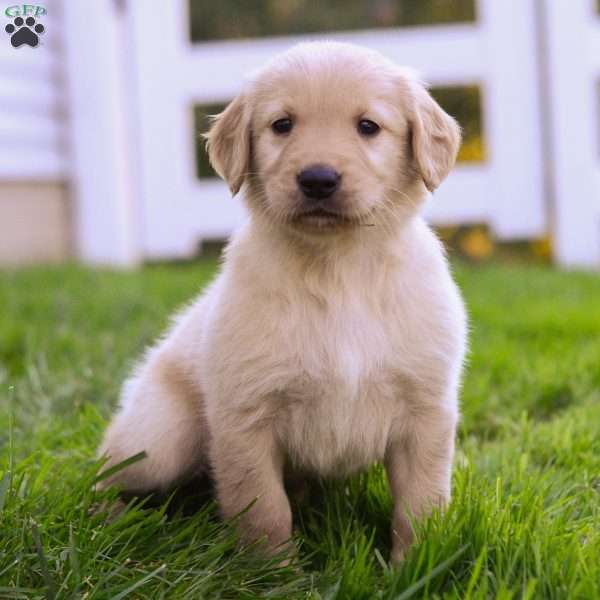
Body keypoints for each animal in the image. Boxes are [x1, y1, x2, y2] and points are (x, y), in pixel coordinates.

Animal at [98, 41, 466, 564]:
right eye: (282, 124)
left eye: (368, 126)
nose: (318, 179)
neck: (337, 271)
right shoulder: (245, 418)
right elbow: (265, 510)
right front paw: (273, 572)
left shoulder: (426, 412)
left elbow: (421, 505)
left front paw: (416, 567)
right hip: (160, 439)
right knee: (105, 471)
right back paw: (104, 518)